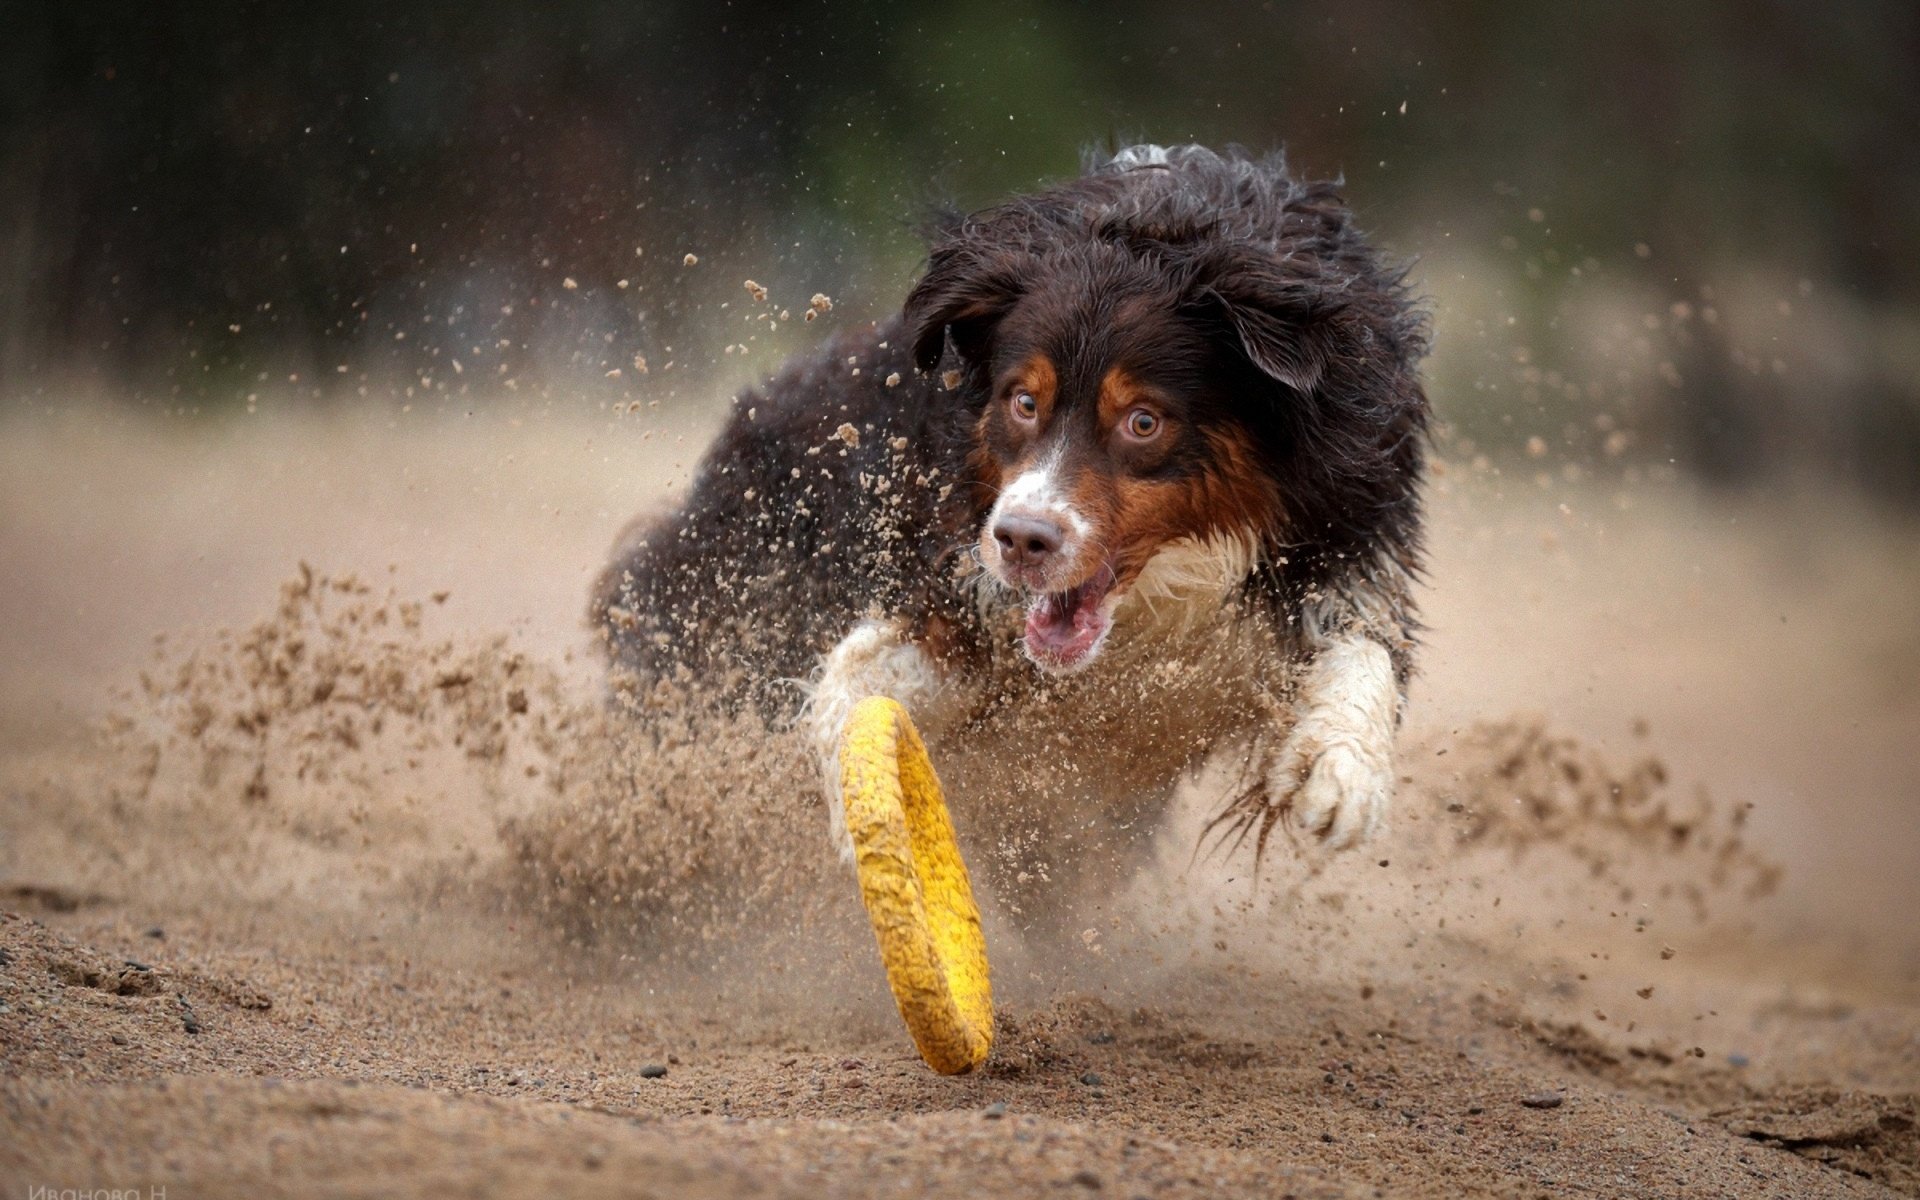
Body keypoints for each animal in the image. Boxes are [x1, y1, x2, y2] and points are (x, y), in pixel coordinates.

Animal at [595, 143, 1428, 906]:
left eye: (1143, 421)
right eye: (1023, 401)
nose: (1023, 540)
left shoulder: (1341, 546)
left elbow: (1362, 651)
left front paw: (1339, 773)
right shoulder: (961, 588)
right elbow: (863, 678)